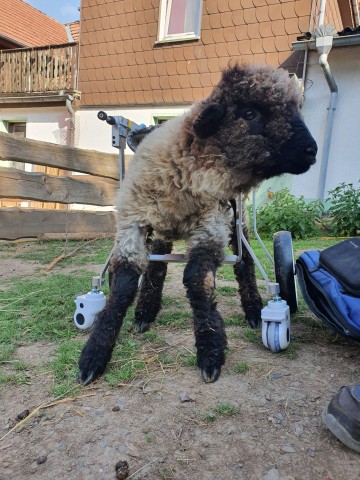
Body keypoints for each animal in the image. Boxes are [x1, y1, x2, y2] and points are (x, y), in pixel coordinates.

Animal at [78, 64, 316, 386]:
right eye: (250, 113)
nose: (312, 150)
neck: (186, 161)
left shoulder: (211, 224)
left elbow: (196, 279)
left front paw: (210, 352)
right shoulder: (134, 223)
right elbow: (123, 284)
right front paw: (94, 355)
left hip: (236, 219)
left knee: (244, 263)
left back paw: (255, 311)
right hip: (161, 226)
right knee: (157, 266)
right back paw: (144, 312)